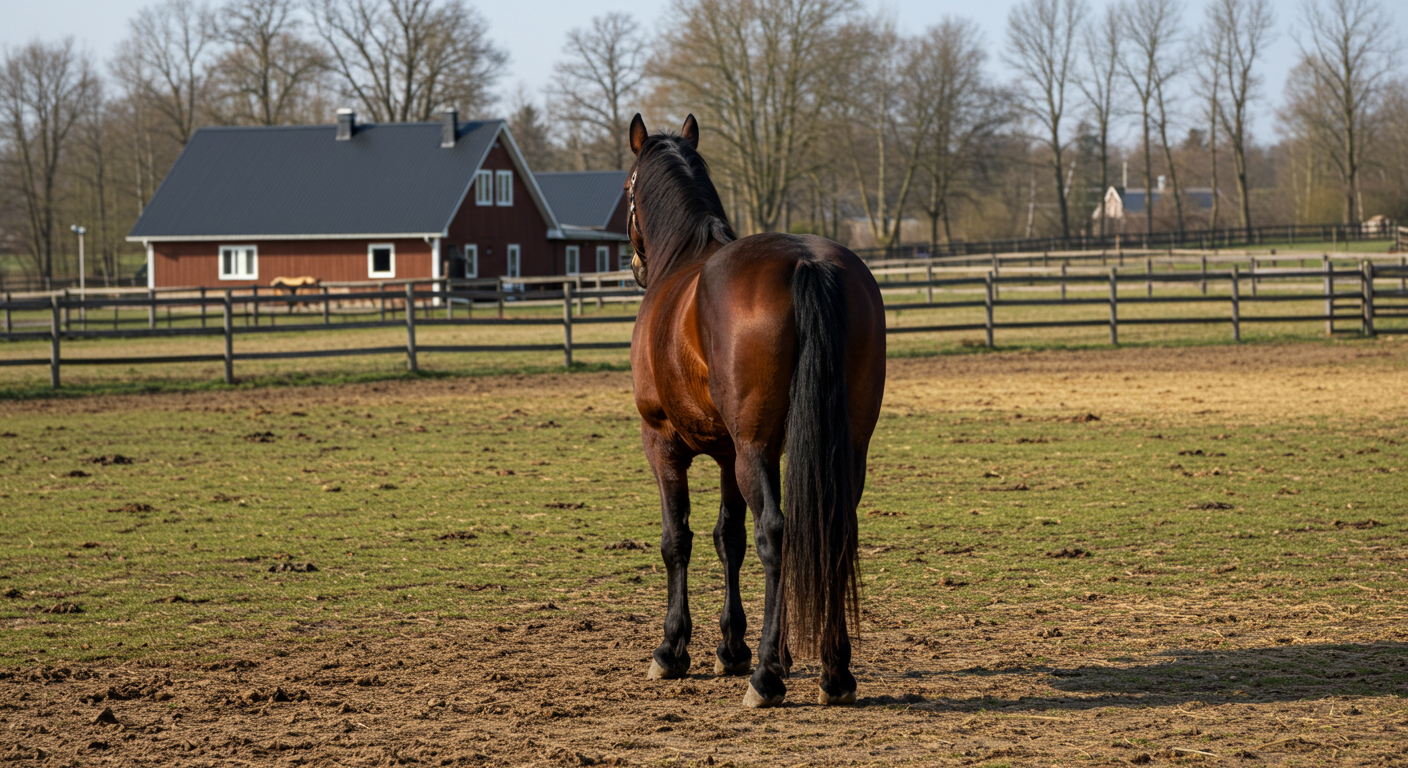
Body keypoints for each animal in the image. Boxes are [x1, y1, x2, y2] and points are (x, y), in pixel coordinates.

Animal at [625, 113, 886, 708]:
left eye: (627, 188)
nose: (634, 263)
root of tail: (808, 261)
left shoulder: (664, 442)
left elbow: (679, 539)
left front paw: (673, 650)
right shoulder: (726, 452)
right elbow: (729, 538)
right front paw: (733, 647)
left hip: (755, 448)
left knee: (777, 535)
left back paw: (766, 678)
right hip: (842, 447)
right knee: (834, 529)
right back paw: (834, 672)